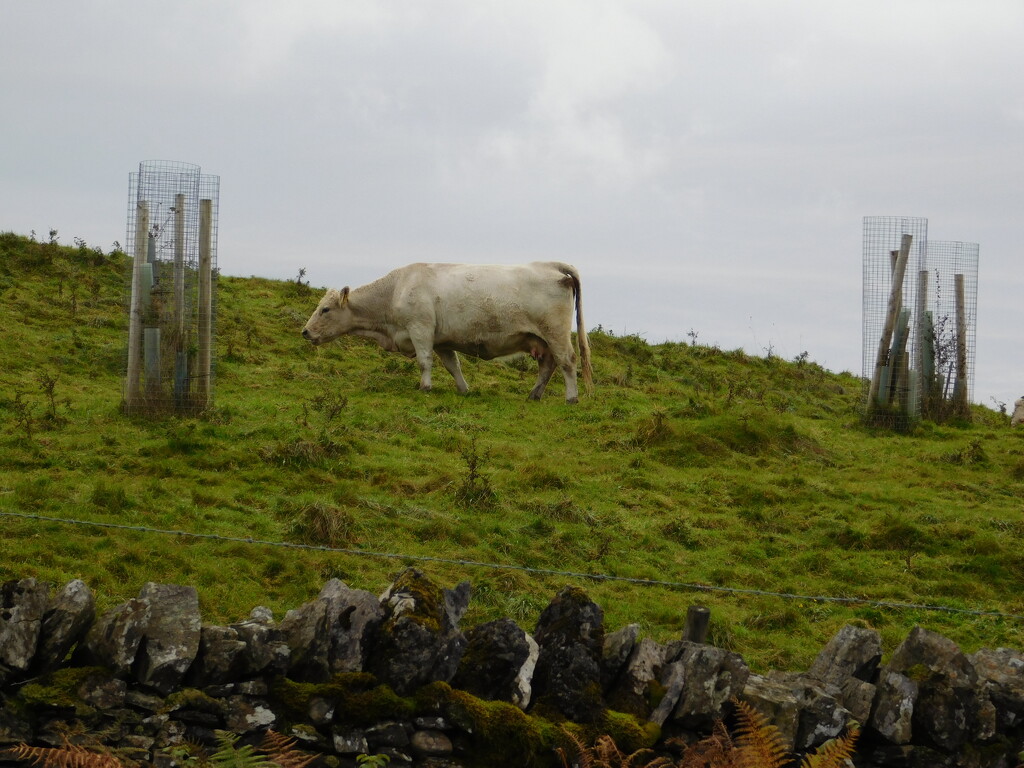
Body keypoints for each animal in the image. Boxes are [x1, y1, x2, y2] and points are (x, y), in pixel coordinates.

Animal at [301, 261, 593, 403]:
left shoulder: (420, 329)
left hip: (555, 333)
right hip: (541, 339)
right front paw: (464, 390)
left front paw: (425, 387)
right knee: (548, 365)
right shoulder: (442, 341)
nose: (305, 332)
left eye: (325, 309)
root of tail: (548, 265)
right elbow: (453, 366)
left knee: (567, 361)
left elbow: (424, 362)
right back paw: (534, 395)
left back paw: (571, 398)